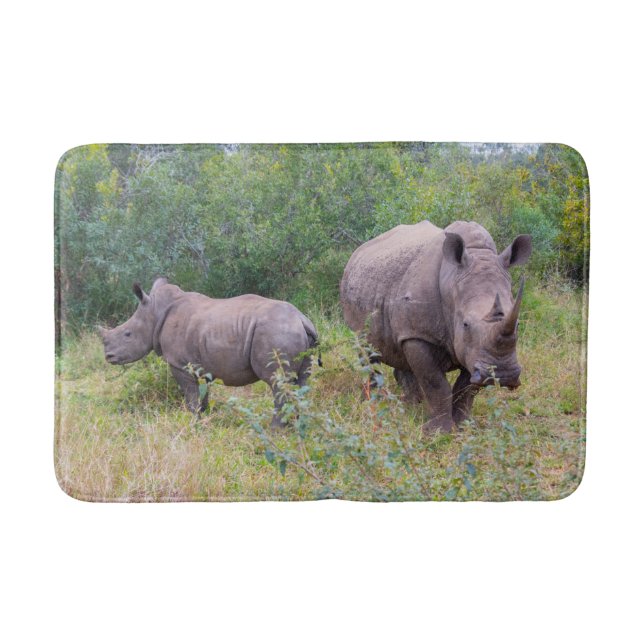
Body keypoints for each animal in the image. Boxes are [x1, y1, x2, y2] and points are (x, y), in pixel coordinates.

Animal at [99, 278, 319, 426]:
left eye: (127, 334)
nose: (108, 356)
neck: (155, 312)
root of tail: (301, 319)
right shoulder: (200, 364)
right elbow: (201, 396)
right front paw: (203, 418)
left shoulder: (180, 364)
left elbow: (191, 397)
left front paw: (193, 423)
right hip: (293, 333)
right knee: (302, 381)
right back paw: (299, 426)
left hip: (276, 332)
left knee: (277, 383)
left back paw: (274, 430)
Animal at [340, 220, 532, 435]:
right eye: (465, 324)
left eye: (517, 324)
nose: (502, 375)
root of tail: (357, 252)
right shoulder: (419, 335)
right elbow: (436, 384)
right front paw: (439, 432)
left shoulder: (473, 352)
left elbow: (466, 388)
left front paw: (465, 427)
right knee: (366, 349)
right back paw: (376, 402)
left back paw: (412, 404)